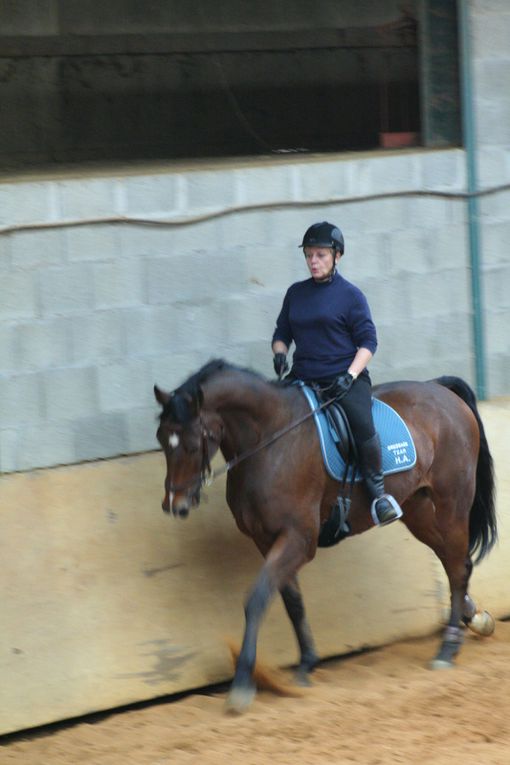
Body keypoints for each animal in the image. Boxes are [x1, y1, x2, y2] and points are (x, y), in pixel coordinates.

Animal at [153, 362, 496, 712]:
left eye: (192, 444)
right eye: (162, 440)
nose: (175, 505)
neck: (271, 440)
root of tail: (439, 388)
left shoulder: (298, 539)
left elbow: (258, 598)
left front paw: (243, 684)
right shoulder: (266, 540)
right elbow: (293, 603)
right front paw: (306, 664)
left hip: (452, 503)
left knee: (456, 566)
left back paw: (447, 649)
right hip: (418, 510)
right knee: (455, 562)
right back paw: (474, 618)